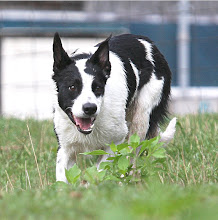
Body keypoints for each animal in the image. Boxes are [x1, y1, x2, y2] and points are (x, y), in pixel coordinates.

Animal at [52, 33, 176, 182]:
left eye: (98, 87)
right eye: (72, 87)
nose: (90, 108)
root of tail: (150, 43)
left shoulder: (116, 140)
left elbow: (100, 170)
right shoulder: (65, 147)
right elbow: (62, 178)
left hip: (141, 118)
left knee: (132, 154)